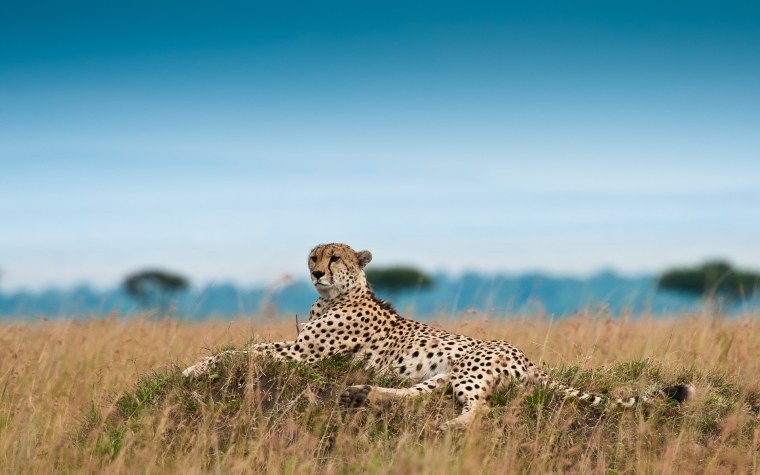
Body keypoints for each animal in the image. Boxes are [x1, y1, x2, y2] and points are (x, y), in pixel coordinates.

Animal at [183, 242, 695, 428]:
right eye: (313, 255)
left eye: (335, 258)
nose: (314, 271)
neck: (334, 296)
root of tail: (528, 357)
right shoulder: (298, 347)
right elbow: (244, 348)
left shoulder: (301, 353)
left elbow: (242, 350)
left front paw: (192, 368)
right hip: (444, 373)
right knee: (421, 394)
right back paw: (364, 394)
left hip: (467, 370)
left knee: (479, 408)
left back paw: (448, 425)